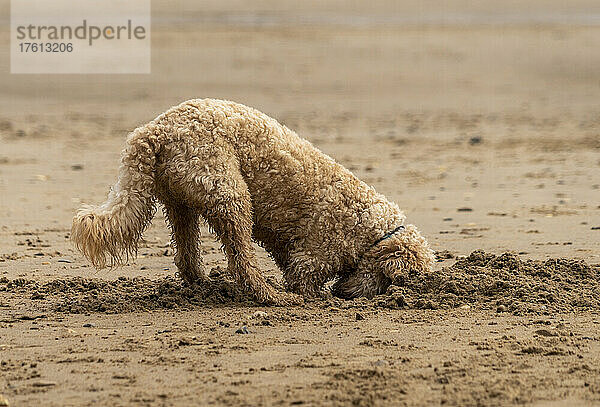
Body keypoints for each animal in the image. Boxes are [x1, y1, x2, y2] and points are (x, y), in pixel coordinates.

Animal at [72, 99, 434, 306]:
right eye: (391, 280)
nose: (345, 295)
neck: (373, 232)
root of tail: (155, 128)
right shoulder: (310, 258)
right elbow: (304, 282)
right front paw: (315, 299)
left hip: (181, 202)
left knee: (186, 256)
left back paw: (202, 285)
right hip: (230, 193)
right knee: (241, 262)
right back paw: (271, 296)